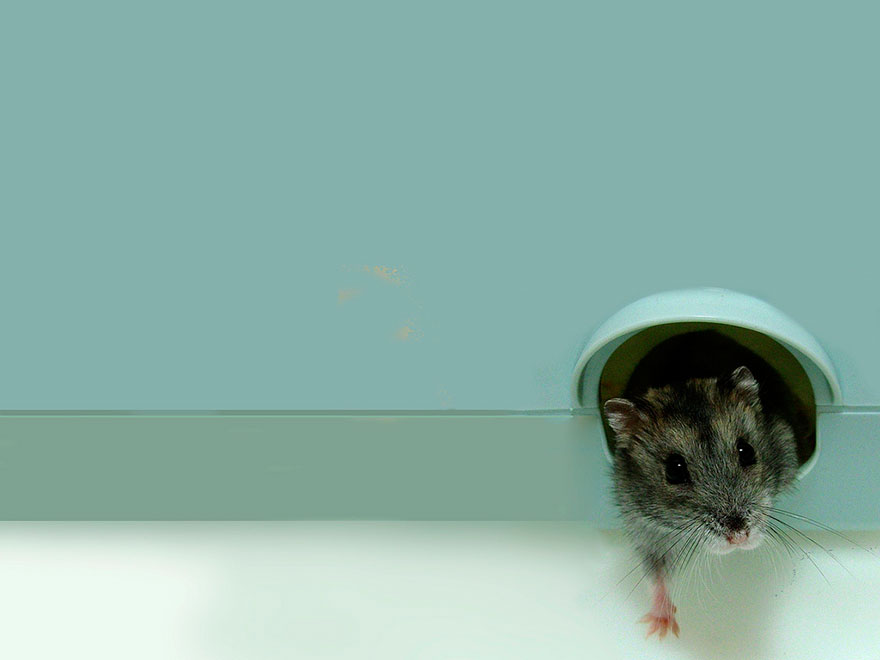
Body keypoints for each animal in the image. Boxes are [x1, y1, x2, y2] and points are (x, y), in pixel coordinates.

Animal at [603, 330, 801, 638]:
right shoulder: (641, 523)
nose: (739, 539)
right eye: (674, 471)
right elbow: (655, 572)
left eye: (747, 451)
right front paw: (660, 630)